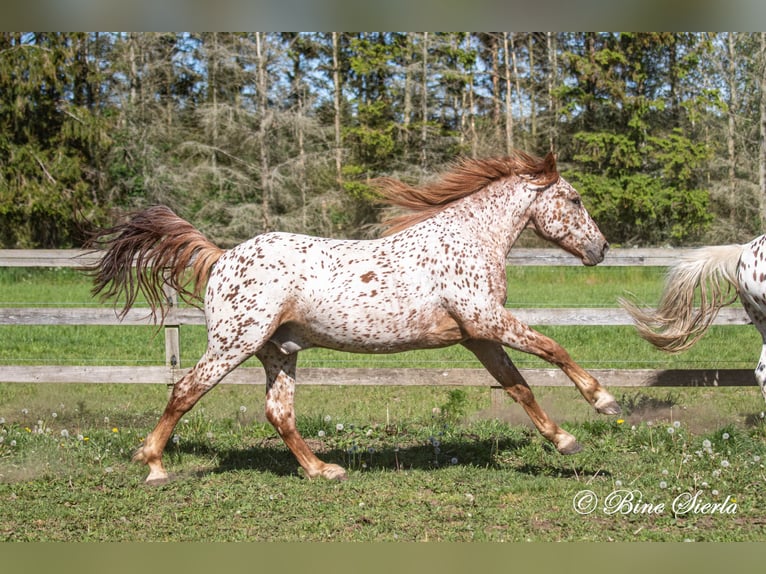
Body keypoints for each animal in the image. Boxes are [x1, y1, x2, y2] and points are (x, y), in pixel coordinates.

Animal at [87, 151, 620, 484]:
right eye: (574, 199)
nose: (602, 248)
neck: (471, 238)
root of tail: (222, 258)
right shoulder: (487, 320)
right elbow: (554, 348)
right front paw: (604, 402)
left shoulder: (477, 335)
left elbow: (518, 387)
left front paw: (564, 440)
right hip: (234, 343)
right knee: (184, 391)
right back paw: (153, 465)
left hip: (277, 351)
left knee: (278, 412)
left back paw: (323, 471)